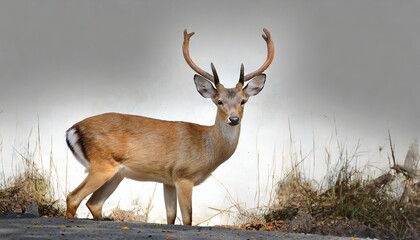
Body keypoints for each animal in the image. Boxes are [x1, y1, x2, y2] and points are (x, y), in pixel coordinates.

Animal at [65, 28, 274, 225]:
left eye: (243, 101)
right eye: (219, 101)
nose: (233, 119)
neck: (206, 147)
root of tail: (71, 130)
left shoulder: (168, 180)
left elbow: (171, 217)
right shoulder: (184, 175)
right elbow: (188, 219)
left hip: (116, 173)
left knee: (94, 203)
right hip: (101, 164)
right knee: (73, 198)